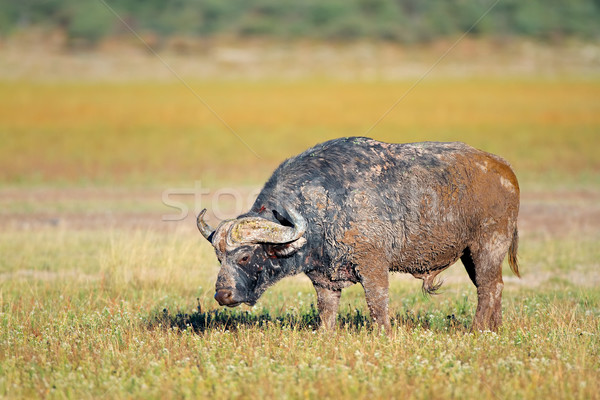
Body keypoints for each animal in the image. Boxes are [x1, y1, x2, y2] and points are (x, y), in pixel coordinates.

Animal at [198, 138, 520, 332]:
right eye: (218, 259)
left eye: (244, 256)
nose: (222, 294)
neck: (324, 205)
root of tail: (505, 169)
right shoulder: (323, 277)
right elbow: (327, 309)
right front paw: (325, 334)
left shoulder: (373, 265)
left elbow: (377, 302)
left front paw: (383, 334)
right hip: (470, 256)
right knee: (494, 286)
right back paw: (495, 328)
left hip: (487, 247)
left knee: (488, 288)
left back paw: (478, 329)